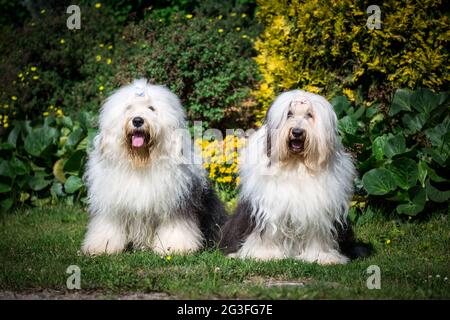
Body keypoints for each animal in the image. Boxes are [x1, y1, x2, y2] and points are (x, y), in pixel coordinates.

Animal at [81, 79, 225, 256]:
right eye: (128, 107)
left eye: (151, 108)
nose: (137, 120)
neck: (141, 161)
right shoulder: (111, 205)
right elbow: (108, 225)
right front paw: (102, 247)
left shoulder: (175, 202)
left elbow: (176, 226)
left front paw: (175, 247)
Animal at [220, 89, 360, 264]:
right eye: (289, 114)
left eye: (309, 115)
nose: (297, 132)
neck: (296, 164)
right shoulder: (268, 209)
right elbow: (267, 232)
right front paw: (265, 254)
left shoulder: (319, 211)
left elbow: (318, 235)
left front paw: (323, 257)